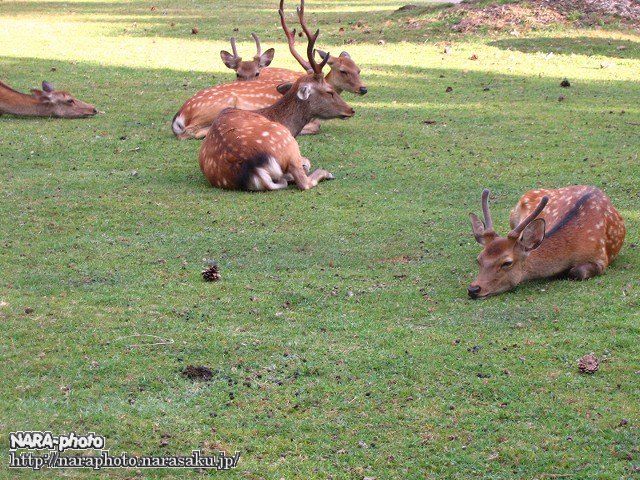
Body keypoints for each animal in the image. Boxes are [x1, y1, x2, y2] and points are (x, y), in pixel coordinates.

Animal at [172, 0, 368, 140]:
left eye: (358, 70)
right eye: (343, 71)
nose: (363, 89)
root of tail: (180, 114)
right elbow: (315, 127)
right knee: (188, 132)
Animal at [199, 2, 356, 193]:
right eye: (329, 91)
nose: (351, 110)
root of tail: (253, 169)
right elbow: (307, 163)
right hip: (287, 143)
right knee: (304, 181)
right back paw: (325, 173)